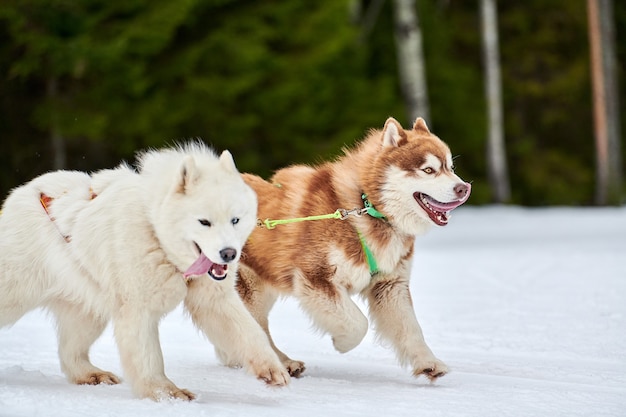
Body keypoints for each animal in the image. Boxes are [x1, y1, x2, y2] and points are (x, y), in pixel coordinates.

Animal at [0, 142, 288, 400]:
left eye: (235, 220)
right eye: (204, 222)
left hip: (88, 307)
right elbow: (149, 355)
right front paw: (166, 393)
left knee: (71, 351)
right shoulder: (138, 307)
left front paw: (272, 369)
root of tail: (23, 193)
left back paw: (92, 374)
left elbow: (249, 332)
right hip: (17, 289)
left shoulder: (212, 298)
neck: (155, 231)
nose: (229, 253)